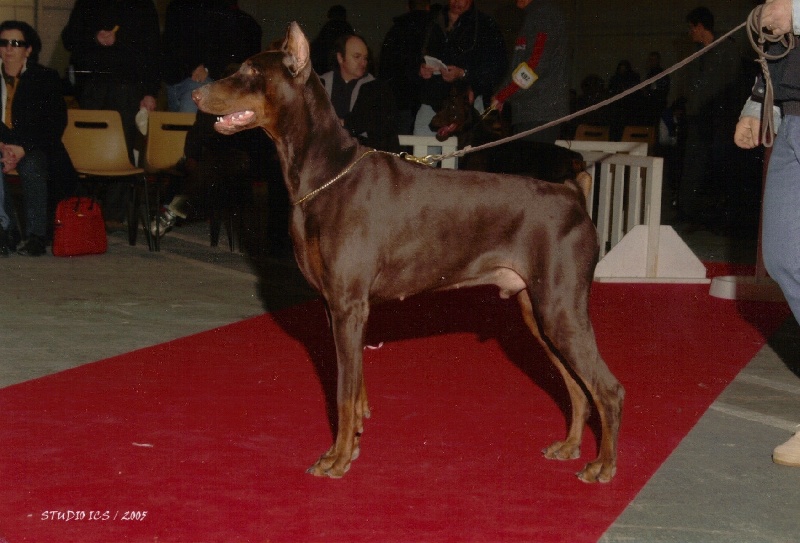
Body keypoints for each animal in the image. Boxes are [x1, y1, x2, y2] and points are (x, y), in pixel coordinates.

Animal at [194, 22, 624, 484]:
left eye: (251, 71)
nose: (197, 94)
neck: (325, 173)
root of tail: (573, 194)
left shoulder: (348, 305)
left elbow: (343, 393)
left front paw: (336, 459)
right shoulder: (336, 307)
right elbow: (356, 389)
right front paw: (353, 445)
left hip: (560, 308)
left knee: (608, 389)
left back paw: (603, 465)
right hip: (537, 310)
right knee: (578, 387)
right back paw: (569, 446)